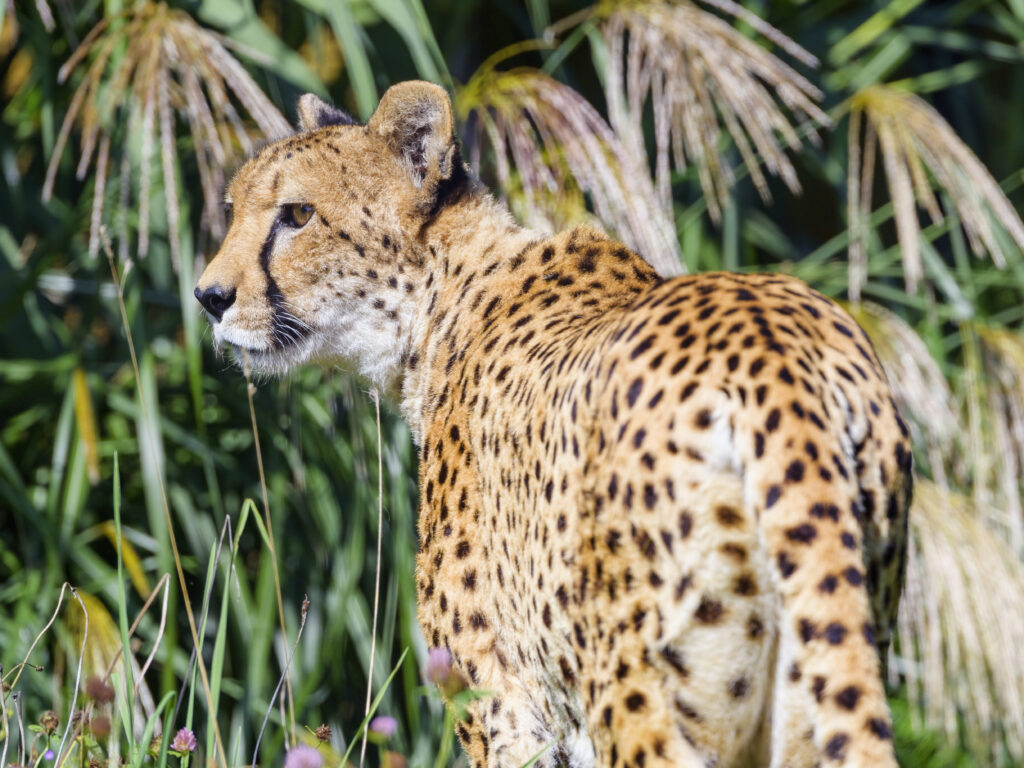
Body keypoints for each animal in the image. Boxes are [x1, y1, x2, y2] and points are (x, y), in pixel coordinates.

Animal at [196, 81, 912, 768]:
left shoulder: (506, 710)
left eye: (298, 215)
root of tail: (770, 343)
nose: (208, 297)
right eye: (232, 209)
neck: (443, 303)